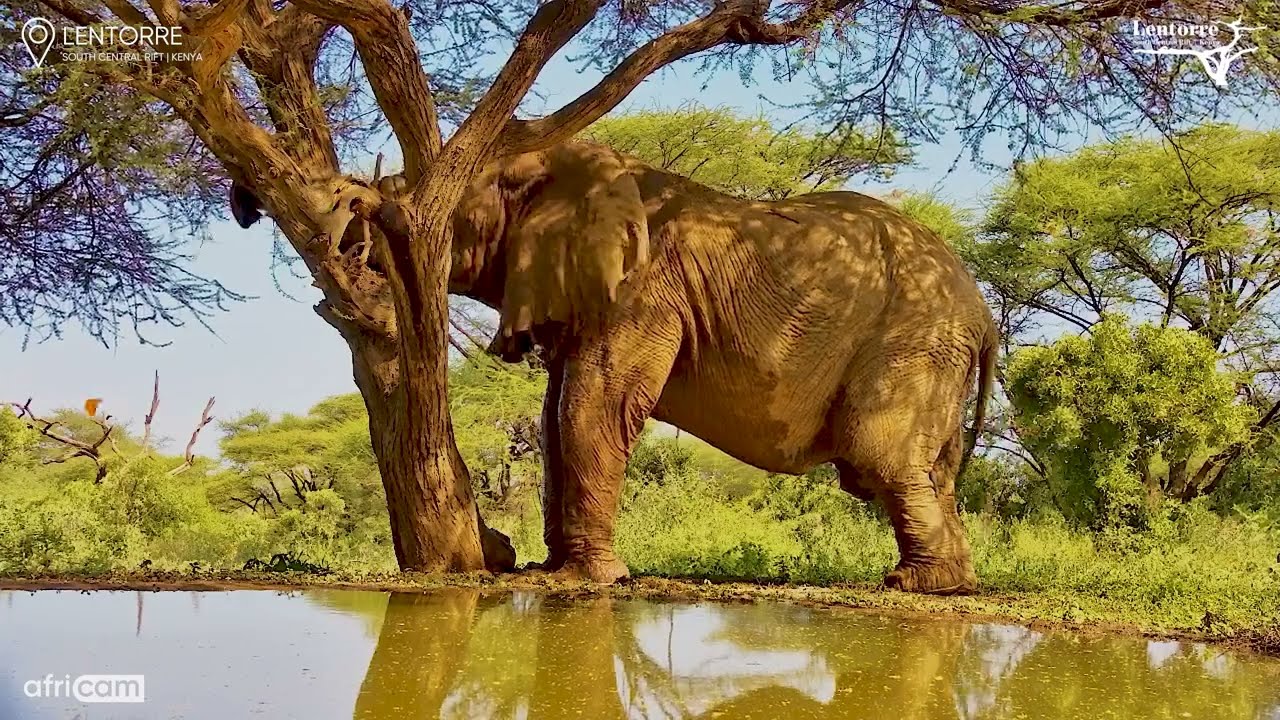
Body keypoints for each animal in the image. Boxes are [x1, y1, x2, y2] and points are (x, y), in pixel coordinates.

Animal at [448, 141, 998, 594]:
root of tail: (984, 315)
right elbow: (554, 415)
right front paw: (549, 570)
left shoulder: (644, 290)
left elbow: (594, 406)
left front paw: (585, 579)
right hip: (938, 354)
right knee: (935, 469)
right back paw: (949, 581)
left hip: (916, 341)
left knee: (878, 456)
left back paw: (916, 583)